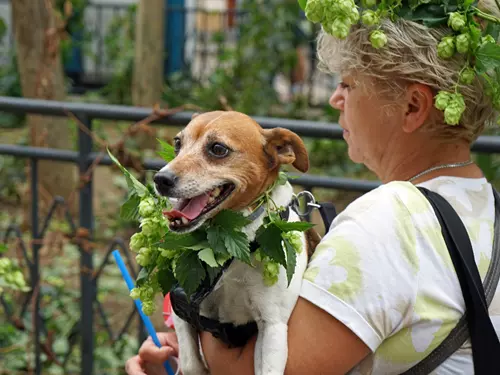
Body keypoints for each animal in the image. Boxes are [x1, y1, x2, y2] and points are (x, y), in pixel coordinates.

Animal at [152, 111, 316, 375]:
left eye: (218, 149)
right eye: (177, 143)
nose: (160, 179)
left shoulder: (272, 327)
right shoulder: (182, 306)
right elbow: (190, 364)